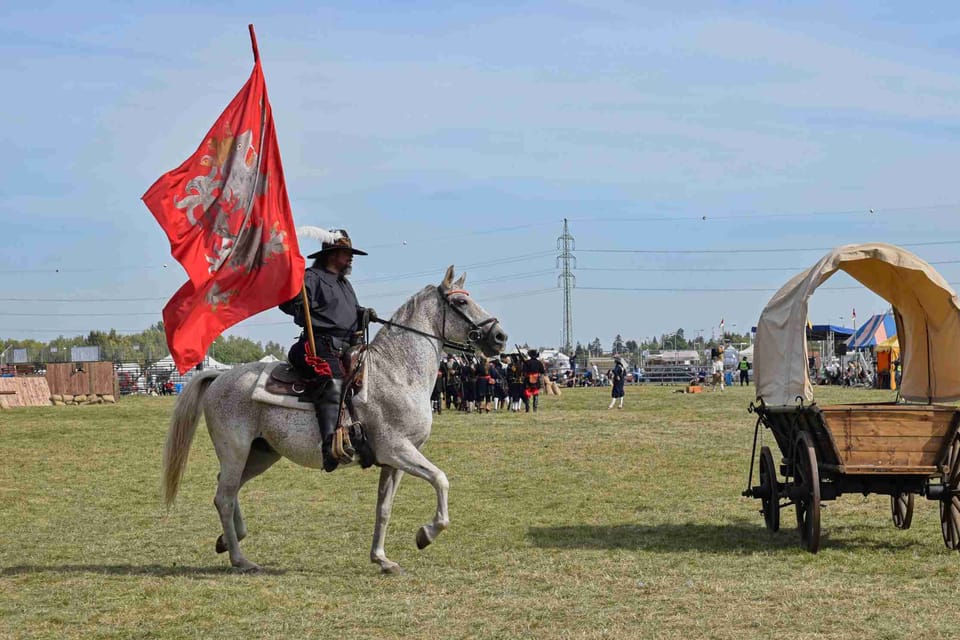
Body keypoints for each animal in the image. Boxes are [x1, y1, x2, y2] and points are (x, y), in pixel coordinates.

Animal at [161, 266, 506, 576]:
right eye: (460, 302)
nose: (499, 336)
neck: (397, 372)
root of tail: (219, 377)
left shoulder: (394, 462)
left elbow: (384, 509)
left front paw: (382, 559)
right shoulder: (398, 450)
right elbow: (441, 479)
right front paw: (427, 534)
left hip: (260, 454)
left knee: (227, 491)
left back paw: (227, 541)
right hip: (236, 450)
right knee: (225, 496)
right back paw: (240, 559)